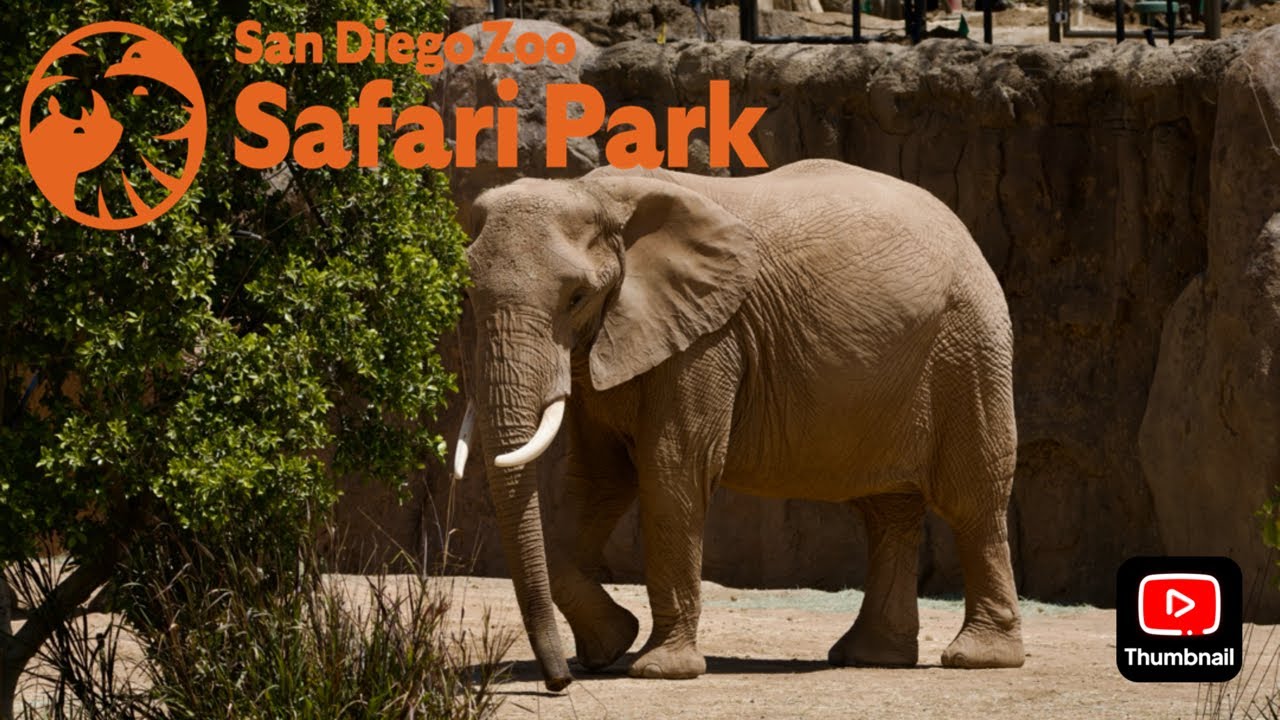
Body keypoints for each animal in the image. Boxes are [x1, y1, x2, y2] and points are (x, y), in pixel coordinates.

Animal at [452, 158, 1024, 690]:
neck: (595, 194)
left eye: (575, 297)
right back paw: (870, 657)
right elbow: (599, 478)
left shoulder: (707, 336)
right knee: (887, 511)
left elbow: (672, 470)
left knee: (972, 500)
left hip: (966, 346)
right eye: (467, 297)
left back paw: (978, 658)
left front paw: (659, 670)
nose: (558, 682)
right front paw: (608, 647)